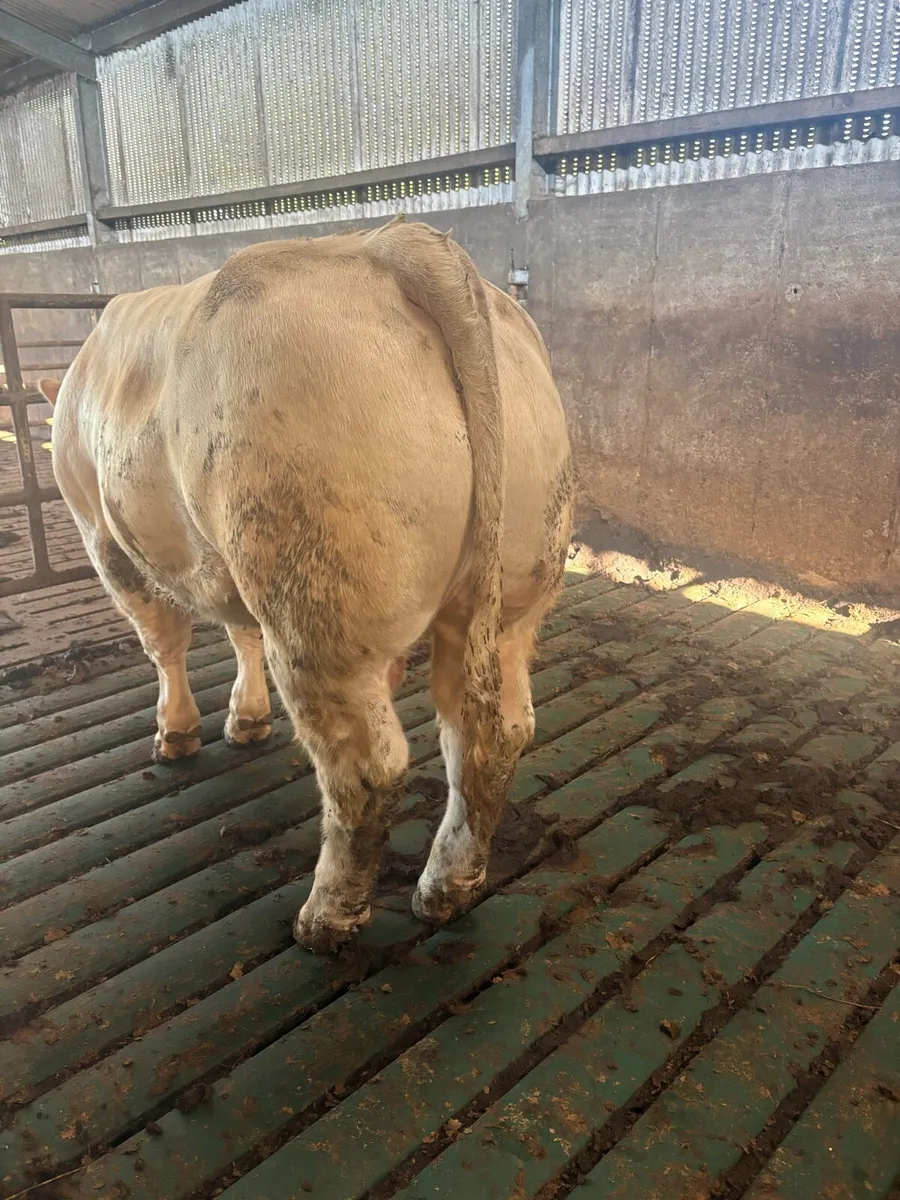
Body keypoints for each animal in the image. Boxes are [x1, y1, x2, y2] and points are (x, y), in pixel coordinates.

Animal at [43, 217, 573, 954]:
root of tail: (392, 243)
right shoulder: (222, 564)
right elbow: (239, 631)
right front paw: (247, 718)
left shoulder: (103, 538)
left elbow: (165, 641)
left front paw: (177, 732)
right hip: (511, 597)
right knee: (493, 733)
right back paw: (447, 888)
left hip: (313, 603)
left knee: (366, 770)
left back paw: (327, 918)